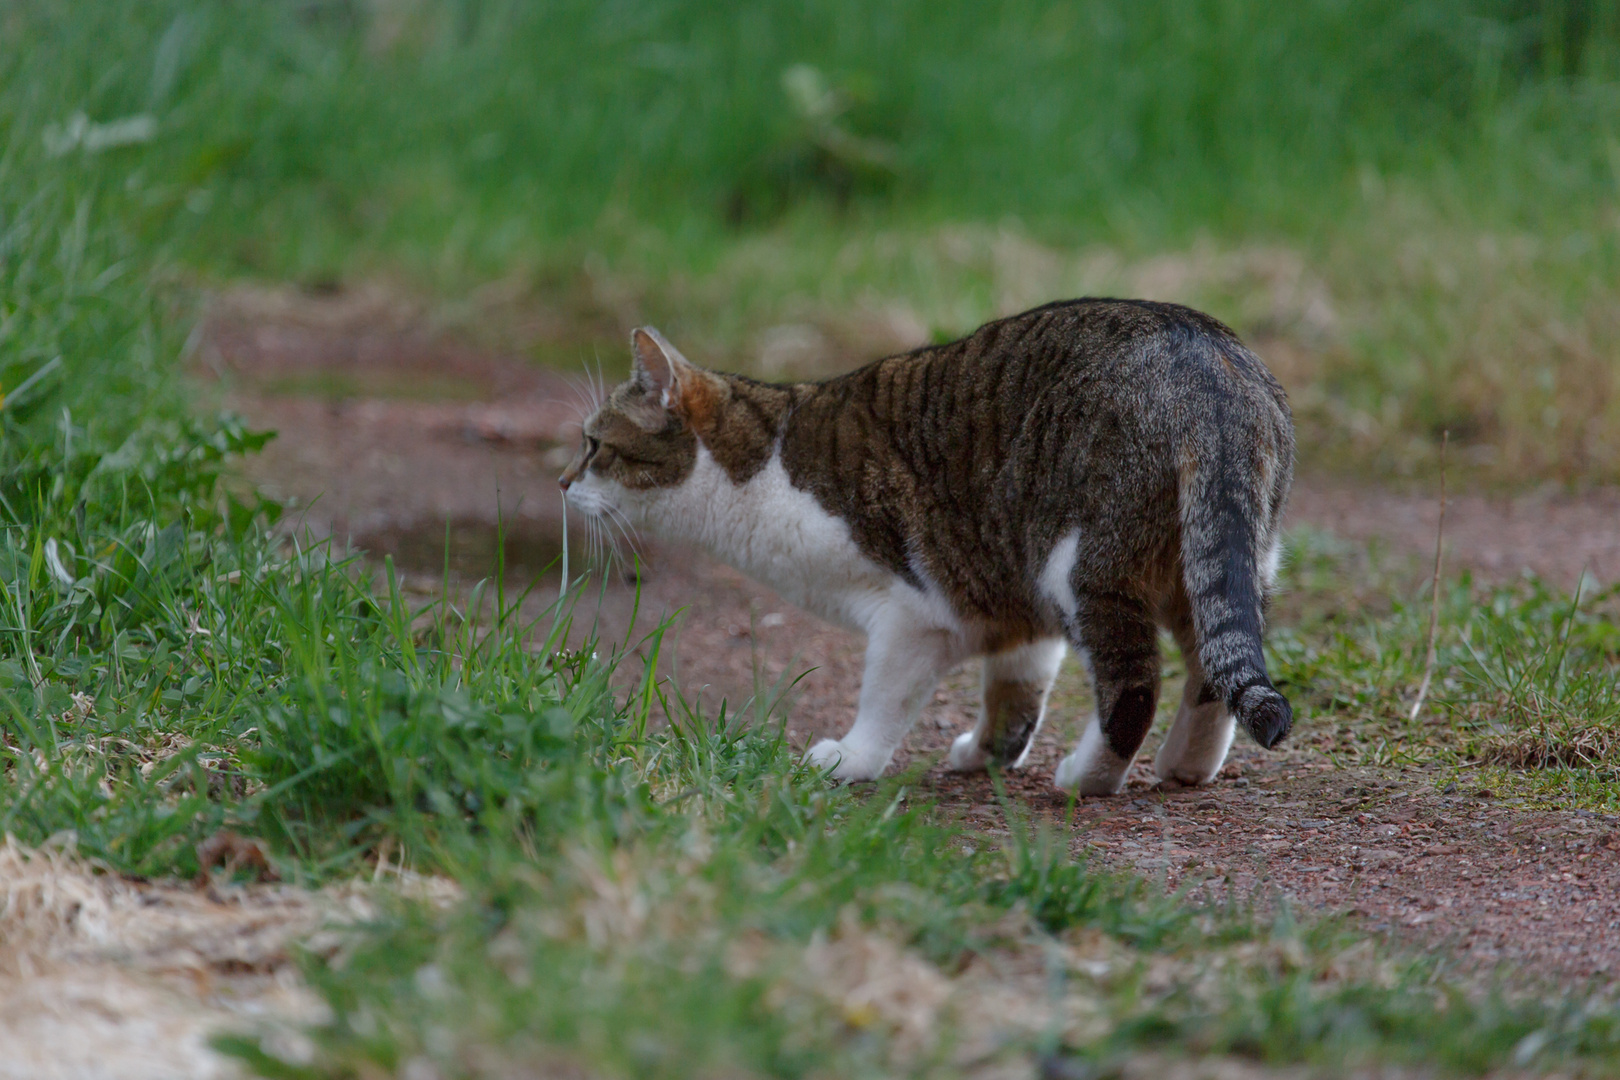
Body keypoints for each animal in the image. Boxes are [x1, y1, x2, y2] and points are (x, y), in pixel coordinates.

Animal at [557, 299, 1289, 799]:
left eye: (593, 446)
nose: (562, 483)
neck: (762, 466)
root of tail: (1206, 366)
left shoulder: (914, 616)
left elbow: (884, 700)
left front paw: (849, 760)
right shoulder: (1013, 596)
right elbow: (1016, 692)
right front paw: (988, 753)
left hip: (1084, 567)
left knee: (1135, 686)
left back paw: (1087, 777)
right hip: (1214, 562)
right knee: (1212, 666)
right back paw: (1186, 765)